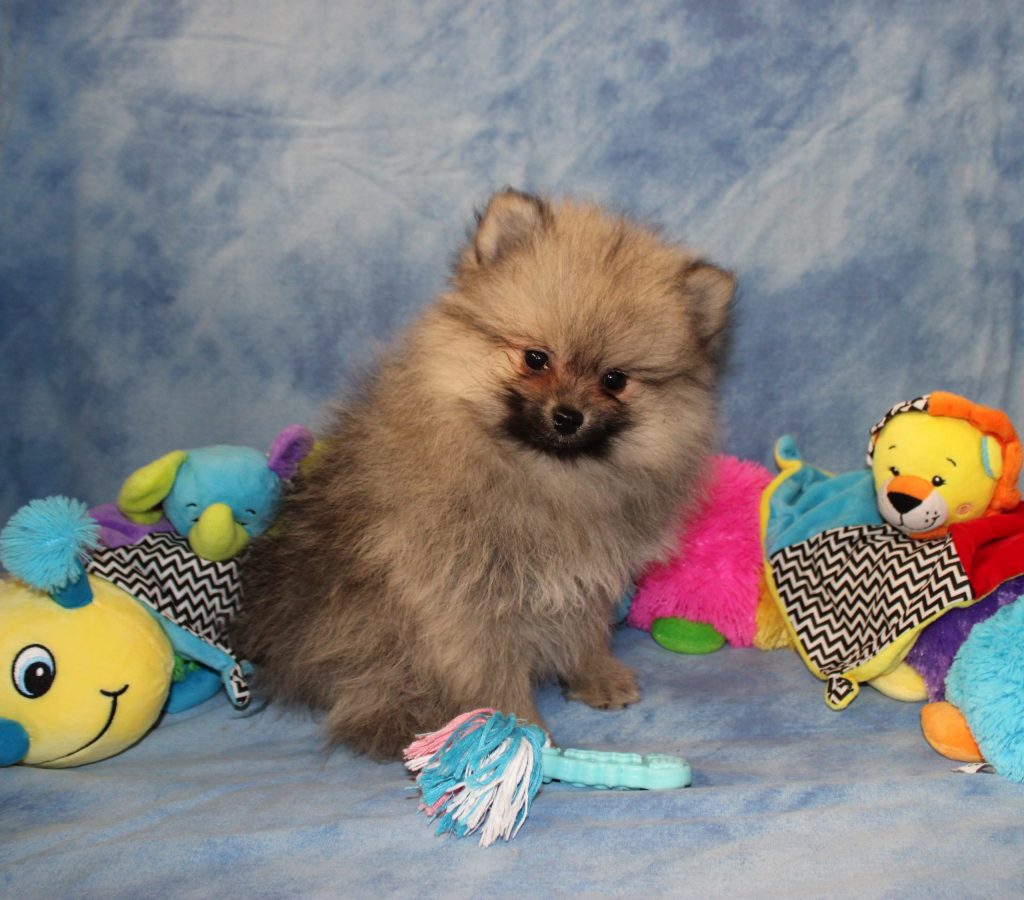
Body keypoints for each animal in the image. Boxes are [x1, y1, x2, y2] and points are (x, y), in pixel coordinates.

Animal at [233, 189, 735, 758]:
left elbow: (585, 634)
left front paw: (595, 676)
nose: (567, 416)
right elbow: (491, 669)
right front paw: (514, 730)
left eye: (614, 380)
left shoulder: (584, 579)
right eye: (536, 358)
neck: (548, 477)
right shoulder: (465, 591)